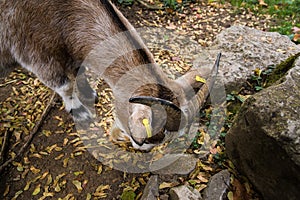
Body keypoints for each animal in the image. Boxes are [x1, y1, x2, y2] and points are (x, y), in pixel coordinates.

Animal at [0, 0, 220, 150]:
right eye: (149, 137)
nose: (140, 148)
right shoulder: (34, 51)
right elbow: (64, 84)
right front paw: (79, 111)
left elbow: (78, 71)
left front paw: (88, 94)